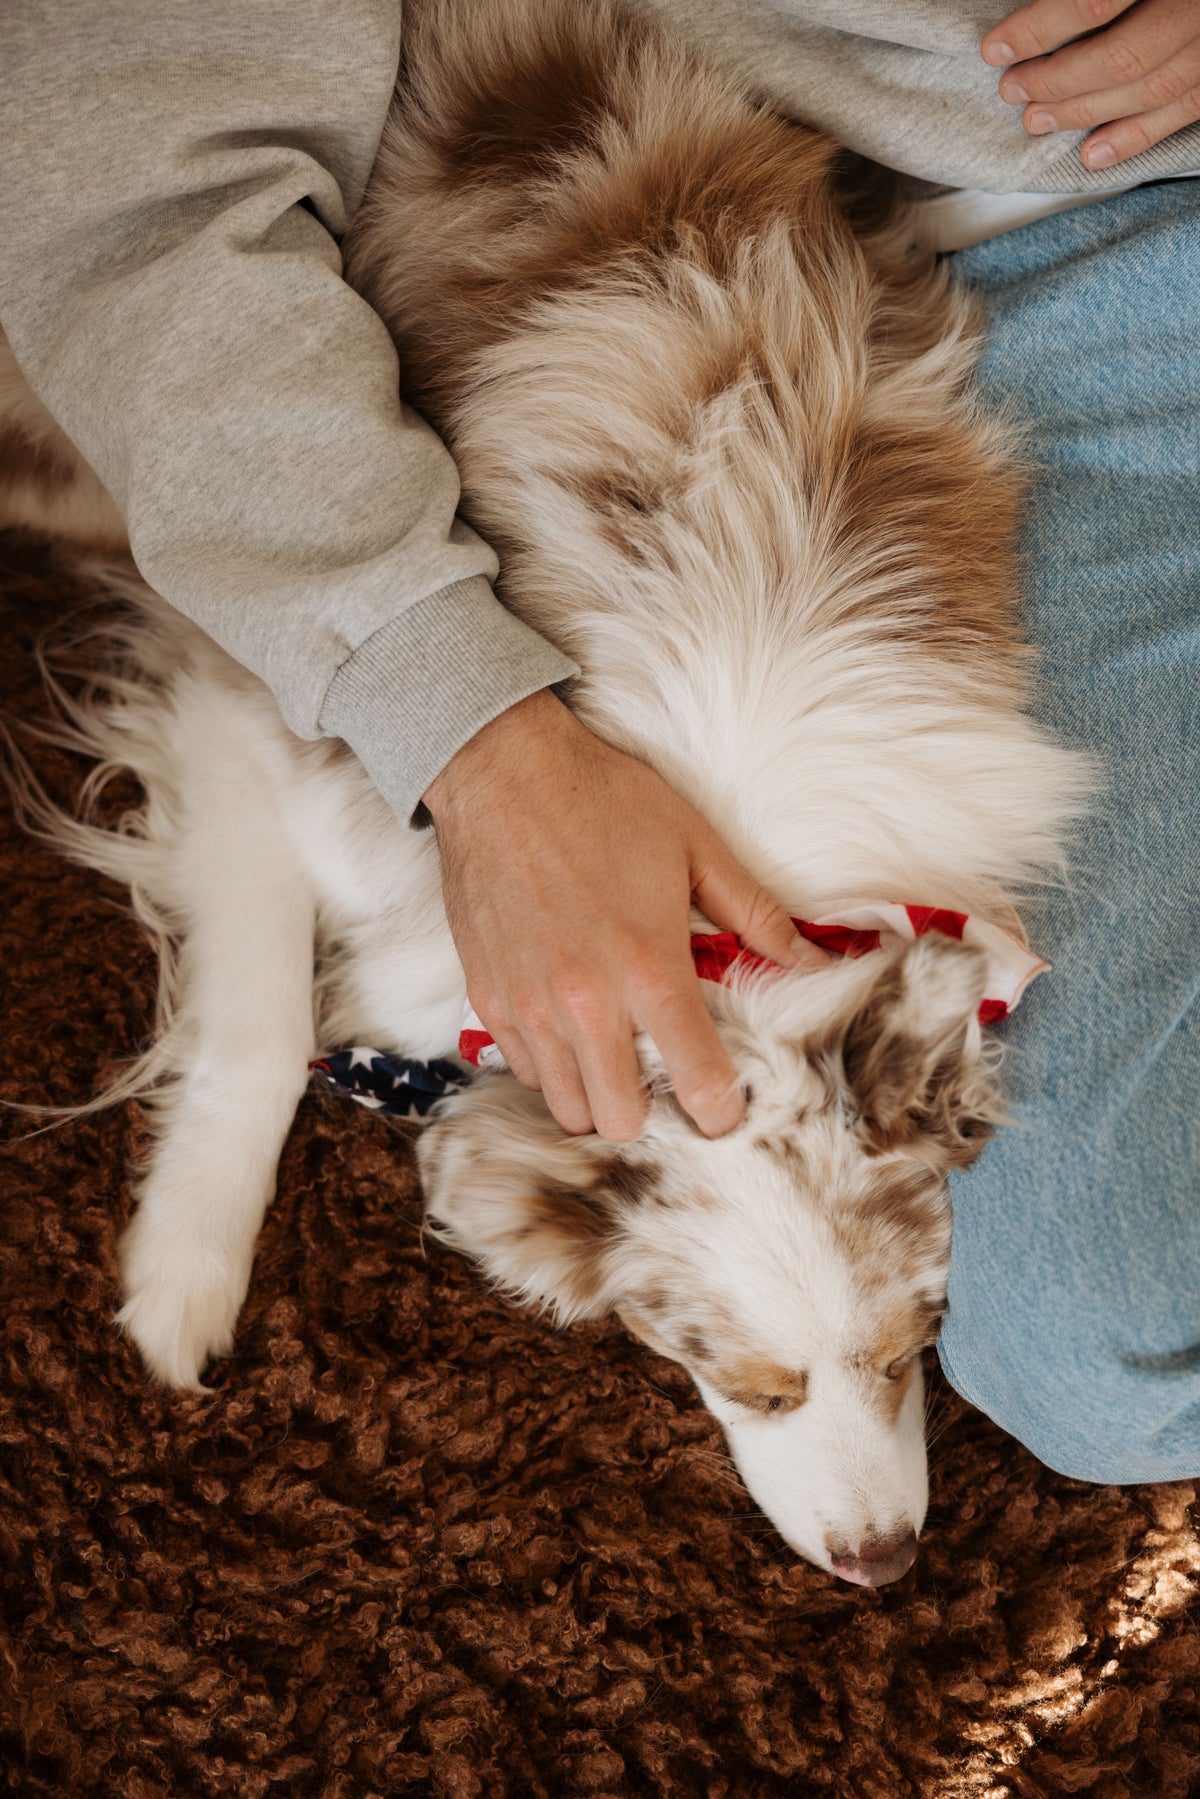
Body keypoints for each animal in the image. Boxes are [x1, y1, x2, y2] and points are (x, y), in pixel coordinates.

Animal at [2, 0, 1086, 1583]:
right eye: (747, 1379)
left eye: (917, 1345)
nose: (886, 1562)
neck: (709, 937)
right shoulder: (252, 687)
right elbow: (260, 1021)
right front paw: (181, 1278)